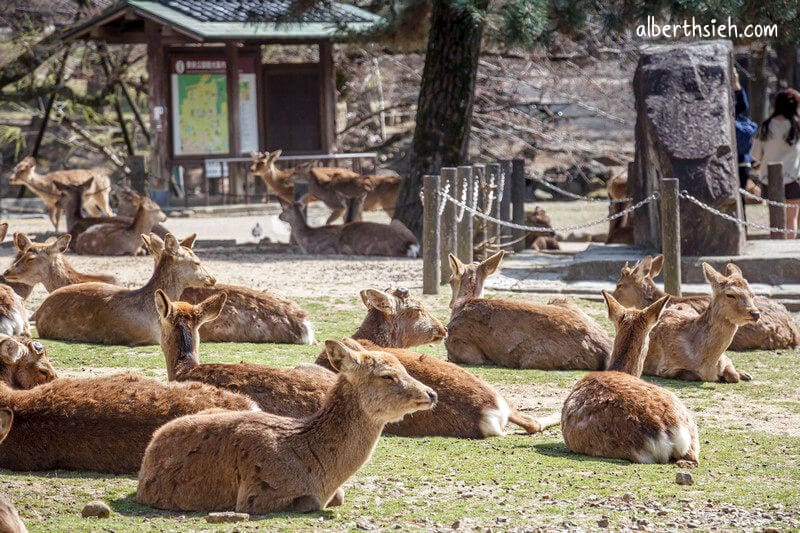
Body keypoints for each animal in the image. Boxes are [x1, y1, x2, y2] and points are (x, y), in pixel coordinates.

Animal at [445, 251, 612, 369]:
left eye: (450, 280)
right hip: (561, 300)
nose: (450, 304)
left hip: (533, 358)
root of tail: (605, 349)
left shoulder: (460, 343)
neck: (465, 302)